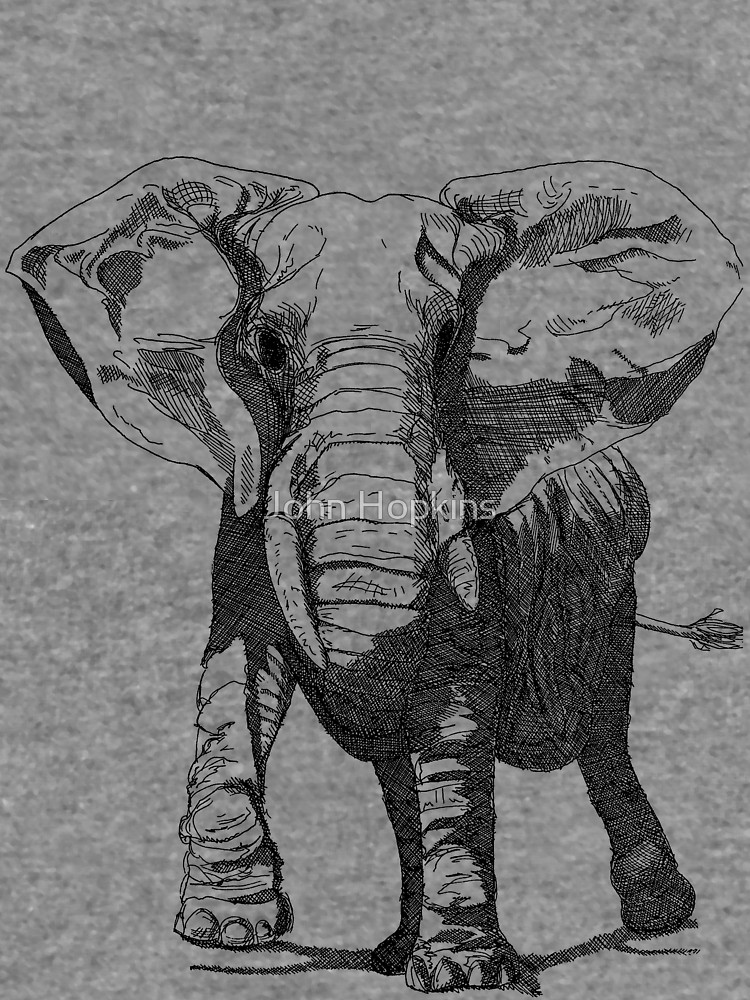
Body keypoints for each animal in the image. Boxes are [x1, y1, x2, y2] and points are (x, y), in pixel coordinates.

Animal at [8, 157, 743, 992]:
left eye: (451, 338)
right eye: (266, 346)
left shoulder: (480, 540)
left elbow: (452, 705)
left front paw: (463, 975)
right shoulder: (246, 495)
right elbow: (239, 668)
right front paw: (227, 931)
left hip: (615, 588)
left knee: (602, 737)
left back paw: (657, 919)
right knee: (401, 777)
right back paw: (391, 952)